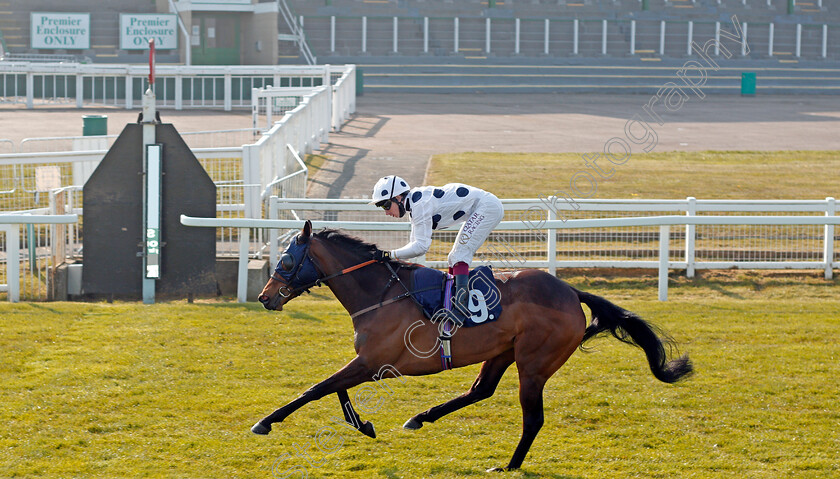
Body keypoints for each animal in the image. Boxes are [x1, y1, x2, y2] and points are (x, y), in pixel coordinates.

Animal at [253, 221, 692, 472]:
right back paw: (421, 417)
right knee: (481, 390)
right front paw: (363, 424)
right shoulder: (369, 362)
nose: (264, 297)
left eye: (287, 262)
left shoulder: (375, 362)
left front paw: (266, 422)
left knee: (532, 418)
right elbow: (334, 389)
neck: (380, 293)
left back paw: (509, 466)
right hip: (502, 353)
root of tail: (571, 291)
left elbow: (317, 389)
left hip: (534, 363)